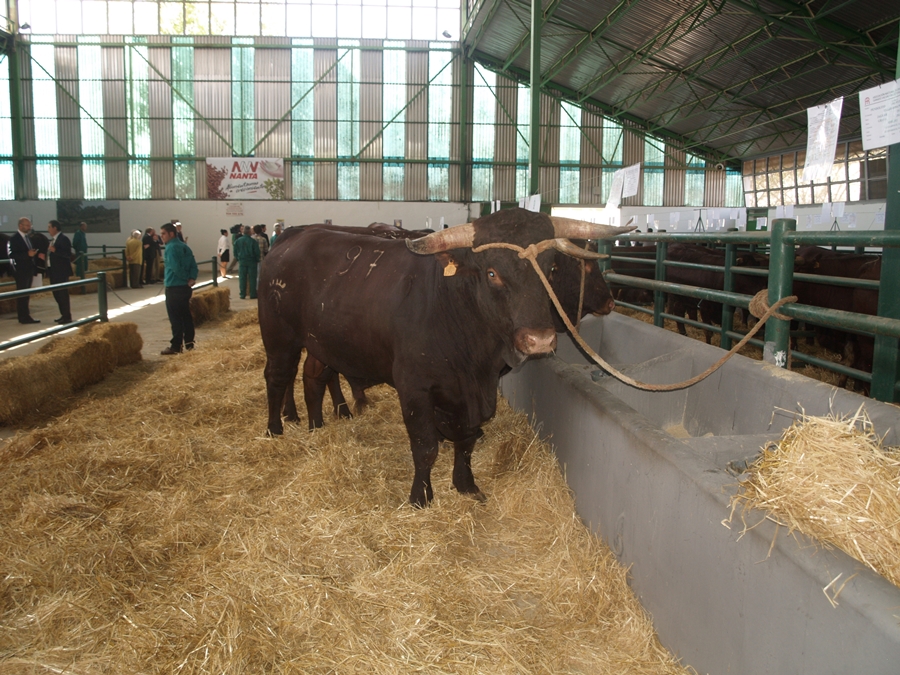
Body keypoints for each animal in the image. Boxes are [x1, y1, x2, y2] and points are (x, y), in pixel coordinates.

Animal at [256, 211, 628, 508]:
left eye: (550, 267)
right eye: (491, 272)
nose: (539, 340)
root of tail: (293, 237)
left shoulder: (472, 392)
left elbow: (466, 440)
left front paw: (466, 484)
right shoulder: (415, 388)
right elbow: (425, 445)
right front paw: (420, 496)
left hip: (322, 344)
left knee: (314, 377)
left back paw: (318, 423)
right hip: (280, 338)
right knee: (278, 376)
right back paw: (277, 427)